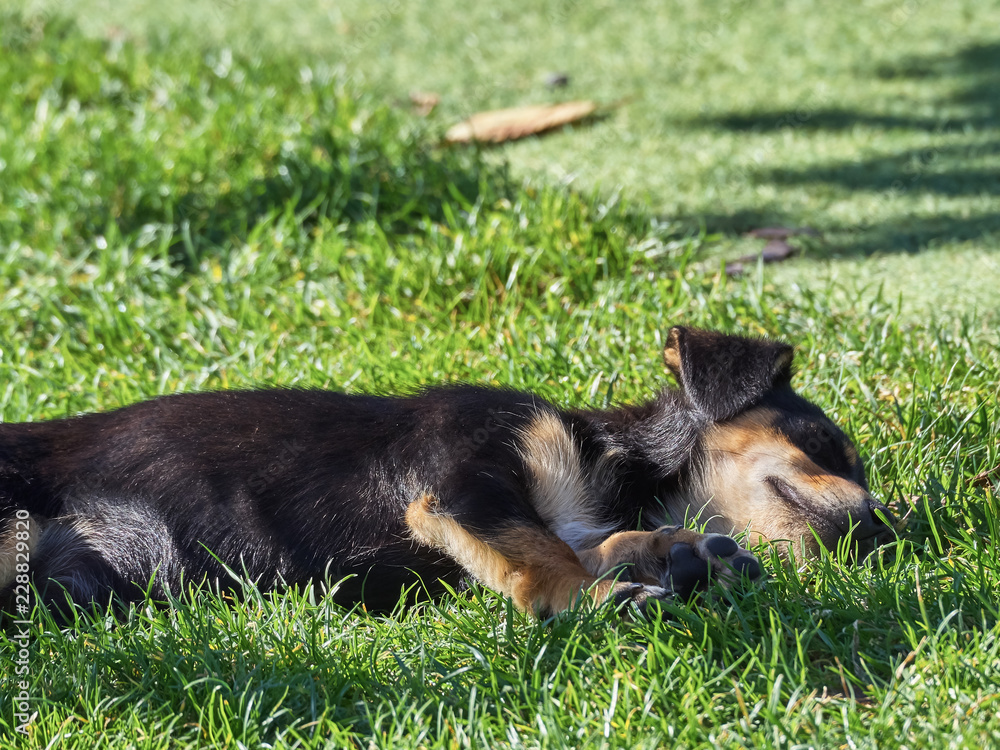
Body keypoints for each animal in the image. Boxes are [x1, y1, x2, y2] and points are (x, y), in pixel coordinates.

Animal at [0, 326, 892, 620]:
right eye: (822, 443)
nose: (888, 530)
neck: (612, 467)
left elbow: (580, 541)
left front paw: (679, 554)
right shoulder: (464, 481)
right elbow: (545, 554)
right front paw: (597, 600)